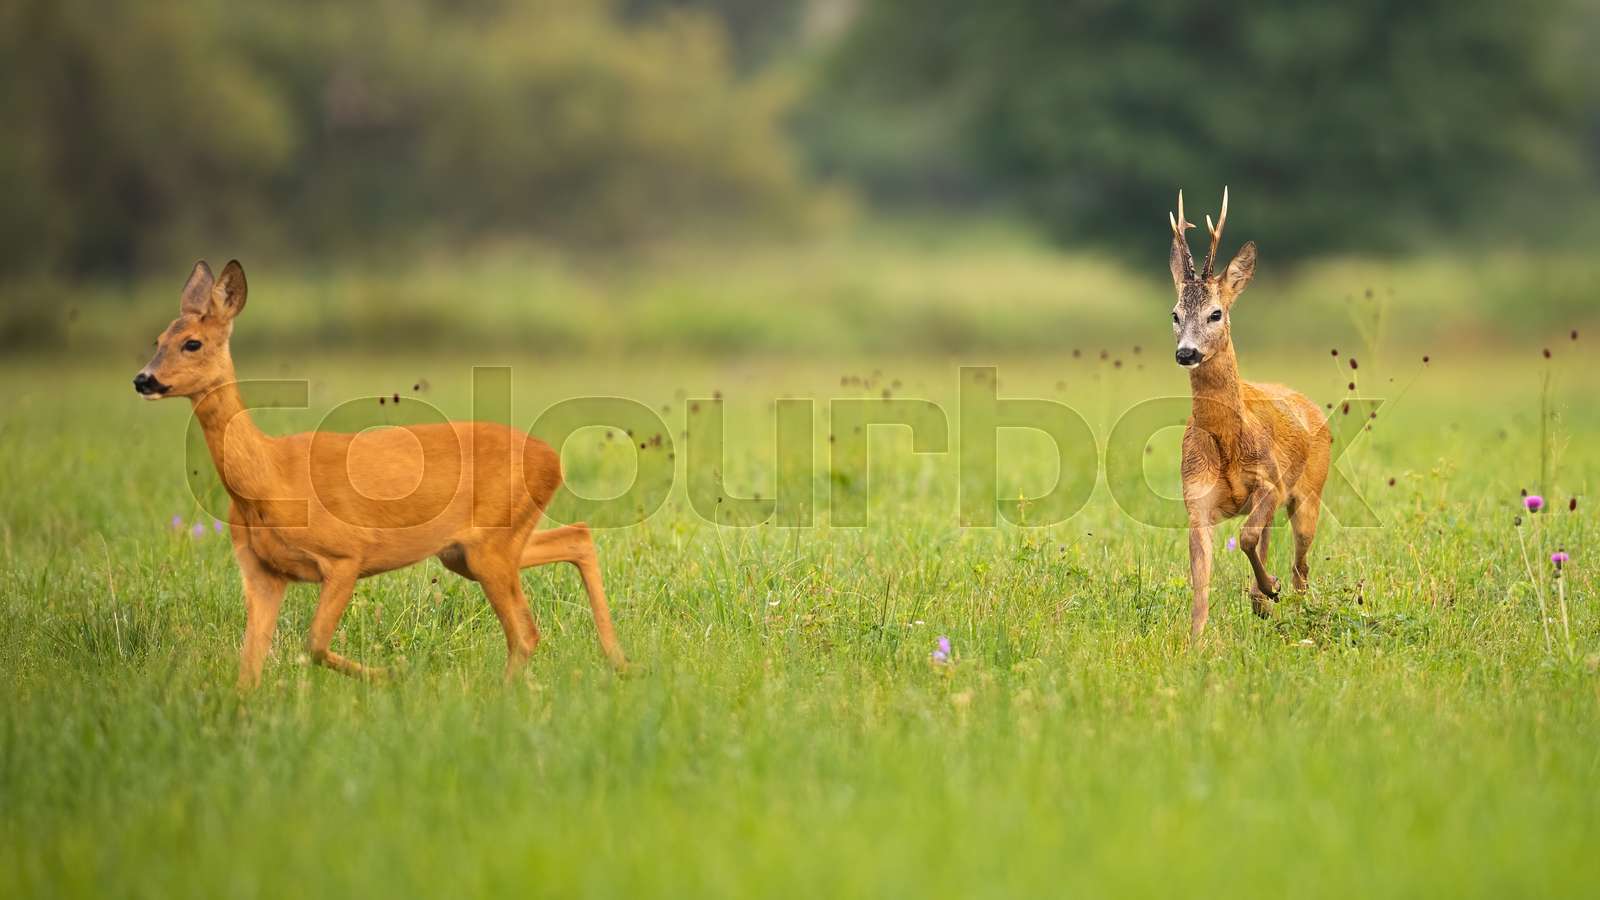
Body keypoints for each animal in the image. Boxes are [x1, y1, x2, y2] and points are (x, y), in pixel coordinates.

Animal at [133, 260, 628, 689]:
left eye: (192, 342)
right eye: (157, 339)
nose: (143, 379)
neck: (268, 479)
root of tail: (553, 459)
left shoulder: (345, 553)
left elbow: (314, 645)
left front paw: (391, 675)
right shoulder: (261, 571)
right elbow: (248, 668)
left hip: (491, 543)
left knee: (526, 632)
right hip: (468, 551)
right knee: (576, 538)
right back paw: (618, 662)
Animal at [1167, 189, 1331, 639]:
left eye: (1216, 313)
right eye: (1175, 314)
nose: (1186, 352)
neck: (1227, 446)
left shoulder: (1271, 481)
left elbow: (1244, 537)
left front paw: (1268, 588)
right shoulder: (1196, 500)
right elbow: (1200, 579)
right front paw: (1196, 641)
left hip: (1309, 492)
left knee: (1301, 566)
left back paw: (1288, 603)